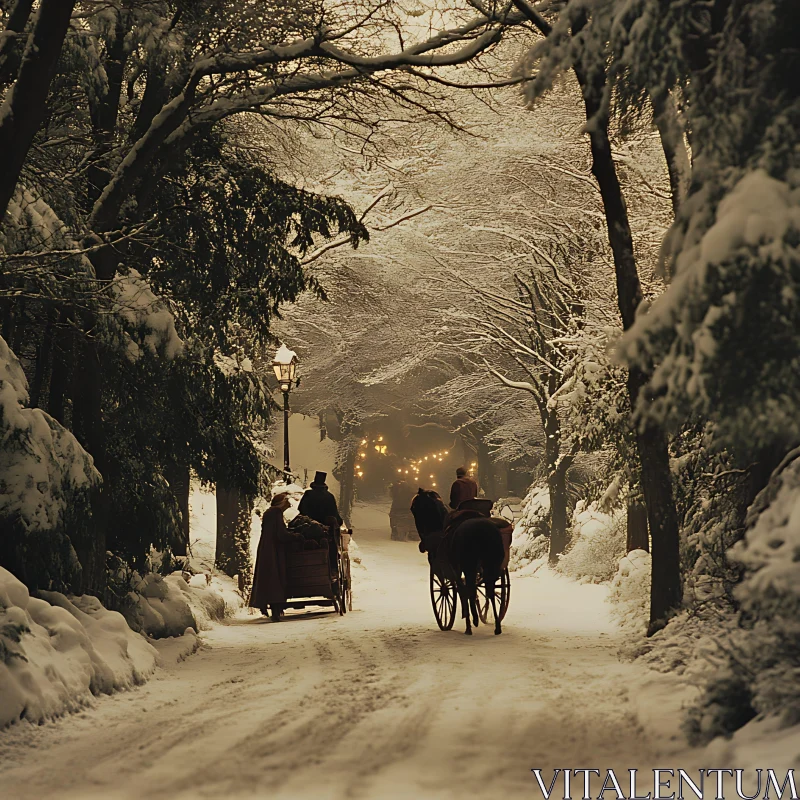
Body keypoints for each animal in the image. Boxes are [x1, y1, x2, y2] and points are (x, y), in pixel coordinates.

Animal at [412, 488, 506, 636]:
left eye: (414, 507)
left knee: (470, 590)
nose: (422, 545)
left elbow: (459, 591)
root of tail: (482, 528)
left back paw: (471, 624)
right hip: (491, 565)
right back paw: (496, 626)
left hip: (469, 566)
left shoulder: (451, 570)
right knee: (490, 591)